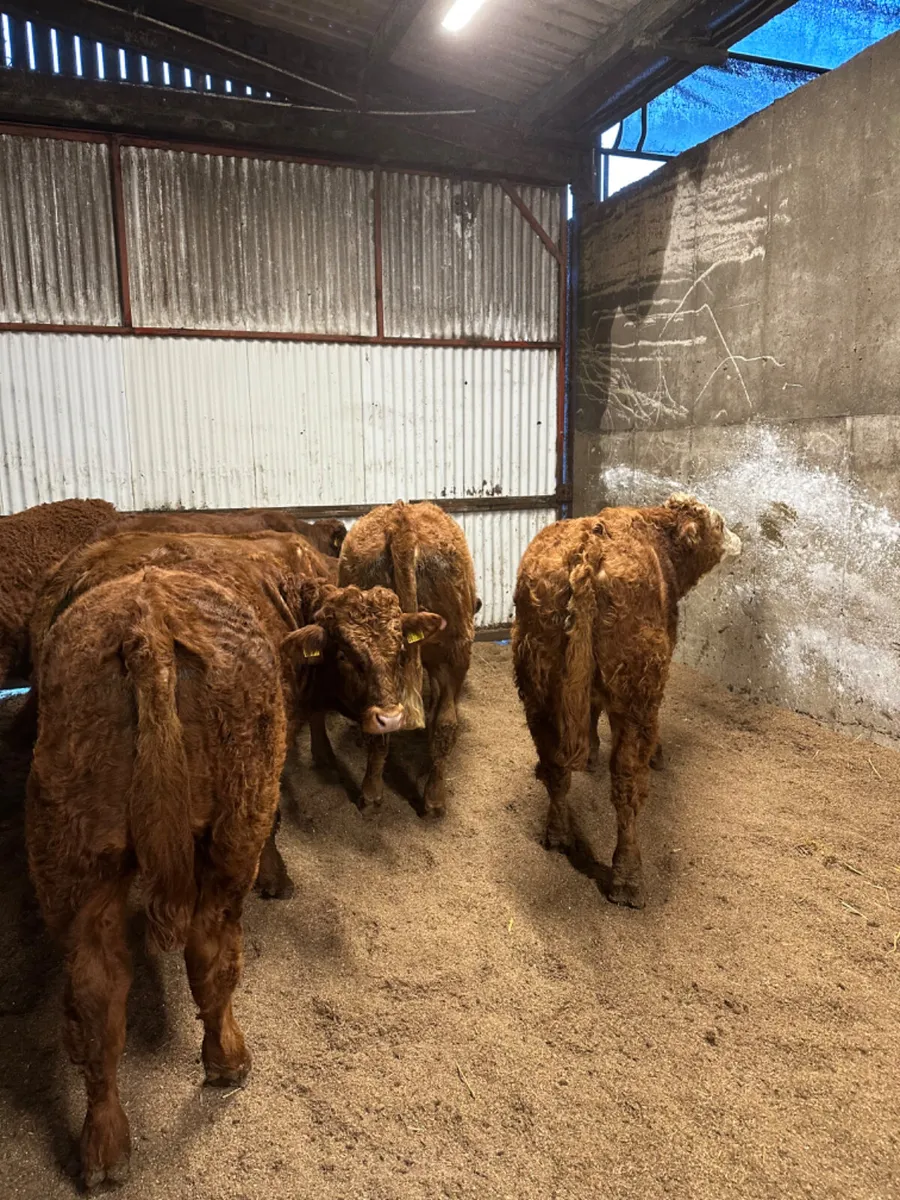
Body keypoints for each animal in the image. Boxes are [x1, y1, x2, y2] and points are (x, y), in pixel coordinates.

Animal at [513, 494, 741, 909]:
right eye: (718, 524)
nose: (739, 539)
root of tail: (590, 545)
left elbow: (590, 711)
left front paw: (589, 753)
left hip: (536, 685)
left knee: (554, 764)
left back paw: (558, 833)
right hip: (638, 691)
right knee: (627, 782)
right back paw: (628, 878)